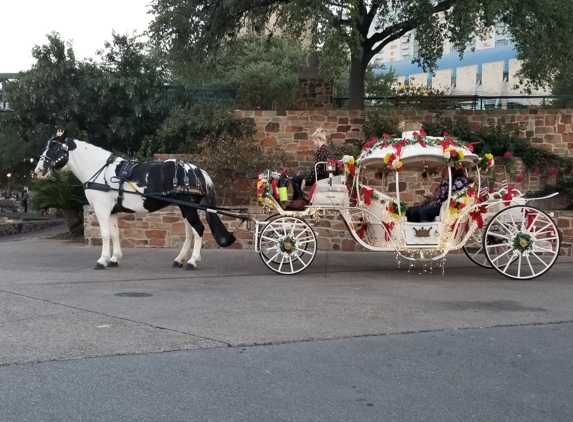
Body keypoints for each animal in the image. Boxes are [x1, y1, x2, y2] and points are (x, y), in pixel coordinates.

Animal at [34, 131, 236, 270]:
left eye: (55, 148)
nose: (39, 170)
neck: (100, 170)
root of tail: (196, 170)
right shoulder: (112, 211)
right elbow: (115, 234)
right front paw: (114, 258)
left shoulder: (101, 209)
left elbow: (105, 234)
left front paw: (102, 260)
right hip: (185, 207)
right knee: (190, 233)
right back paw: (180, 259)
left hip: (189, 208)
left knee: (198, 229)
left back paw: (192, 262)